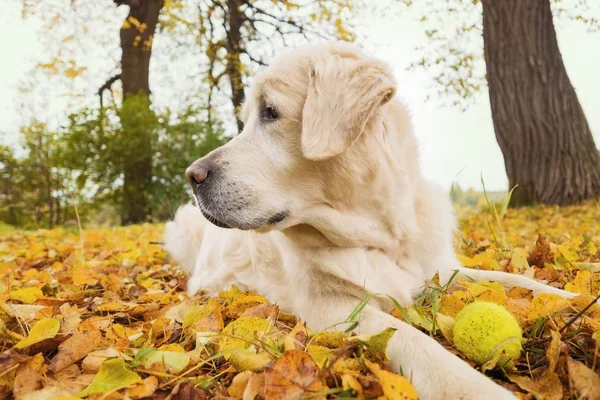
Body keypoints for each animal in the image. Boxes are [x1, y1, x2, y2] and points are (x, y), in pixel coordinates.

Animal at [166, 41, 580, 400]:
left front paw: (575, 298)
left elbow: (517, 280)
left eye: (270, 112)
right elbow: (414, 340)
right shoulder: (334, 307)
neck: (384, 237)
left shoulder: (440, 271)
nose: (192, 176)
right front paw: (472, 388)